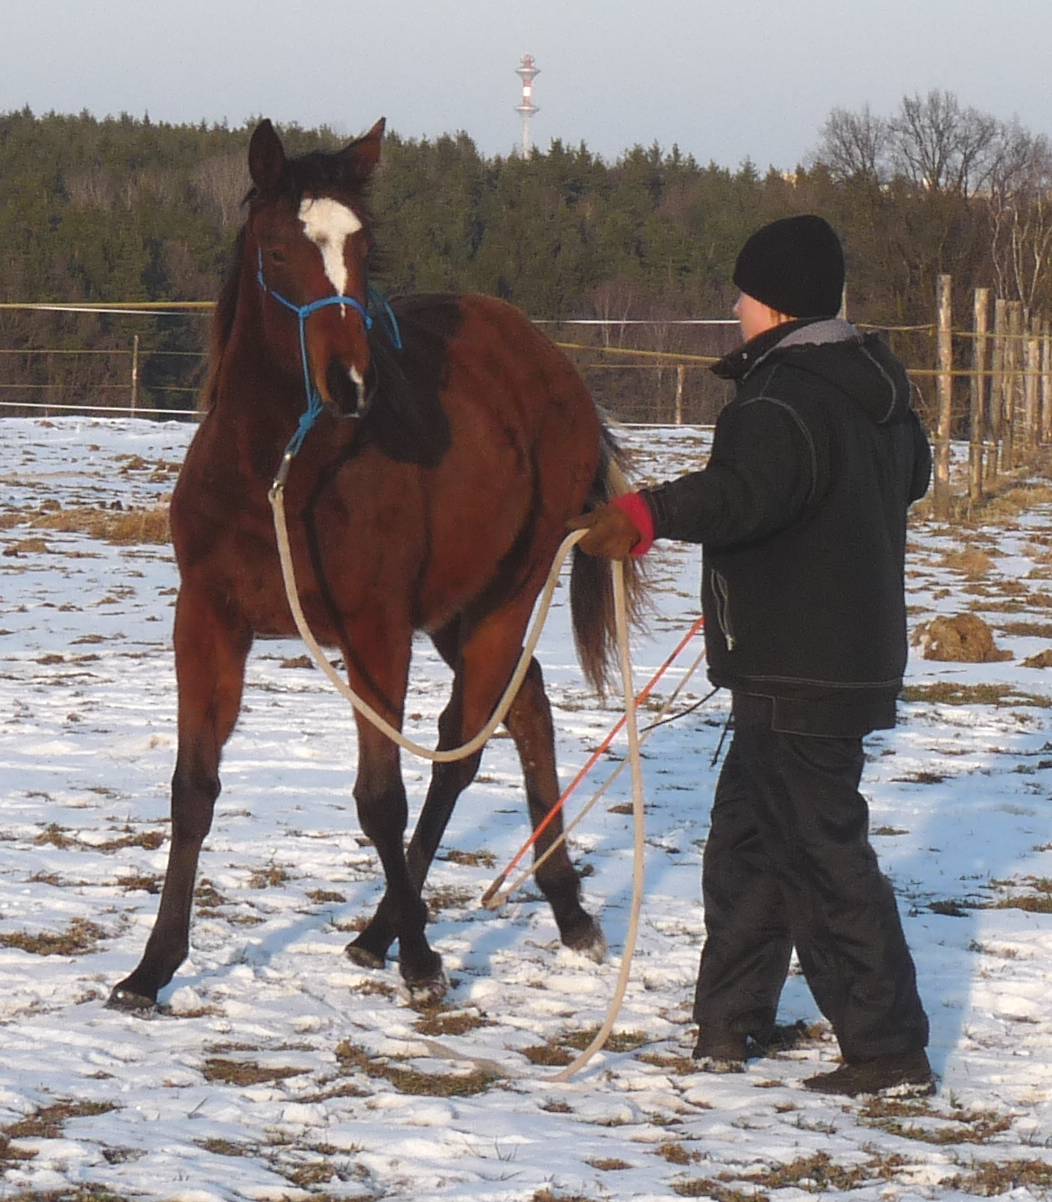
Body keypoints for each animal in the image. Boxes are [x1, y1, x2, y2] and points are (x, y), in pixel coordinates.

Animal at [111, 117, 644, 1009]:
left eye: (362, 248)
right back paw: (561, 910)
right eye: (278, 250)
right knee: (525, 710)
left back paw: (392, 933)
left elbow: (380, 798)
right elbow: (194, 790)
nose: (350, 382)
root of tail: (556, 371)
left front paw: (424, 961)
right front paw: (152, 968)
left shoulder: (374, 631)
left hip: (503, 599)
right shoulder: (208, 620)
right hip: (460, 611)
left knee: (465, 742)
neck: (280, 472)